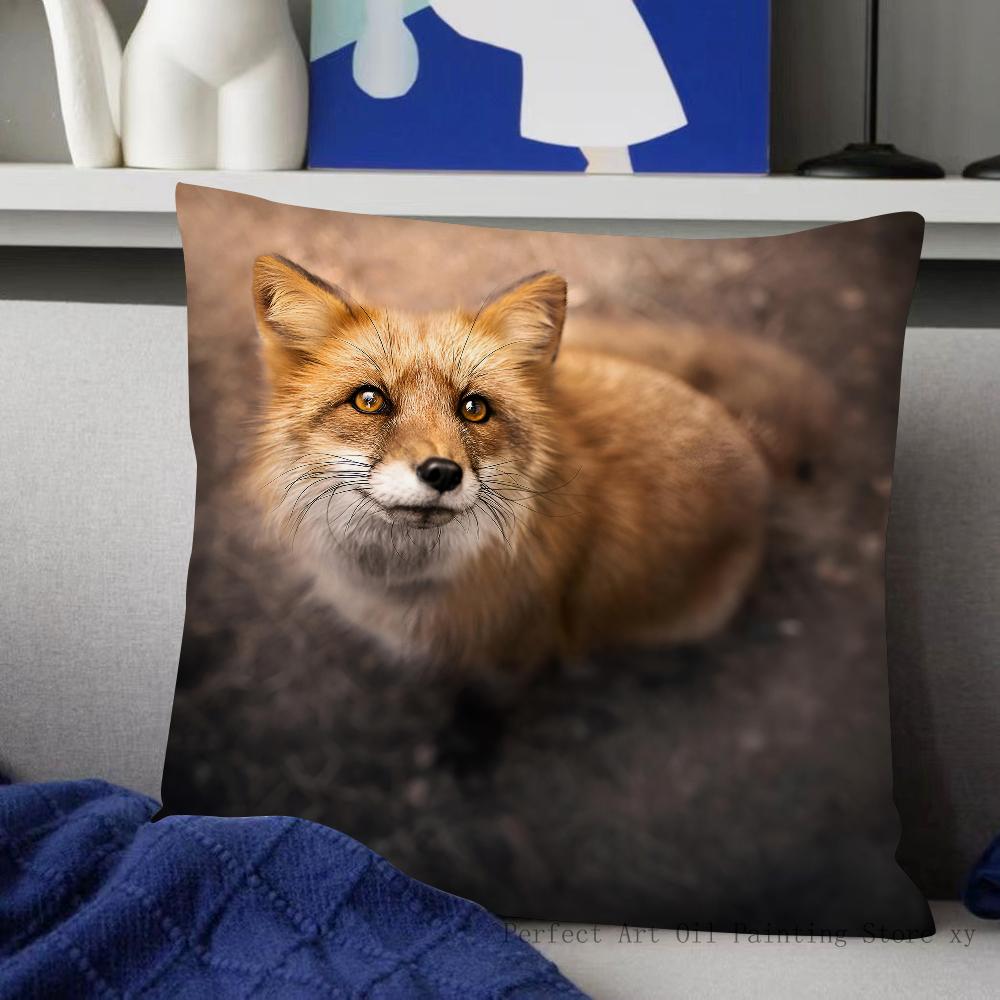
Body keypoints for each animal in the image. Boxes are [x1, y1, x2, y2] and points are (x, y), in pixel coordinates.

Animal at [249, 255, 831, 676]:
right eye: (369, 401)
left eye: (474, 408)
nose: (442, 473)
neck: (404, 581)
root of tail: (749, 438)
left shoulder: (516, 656)